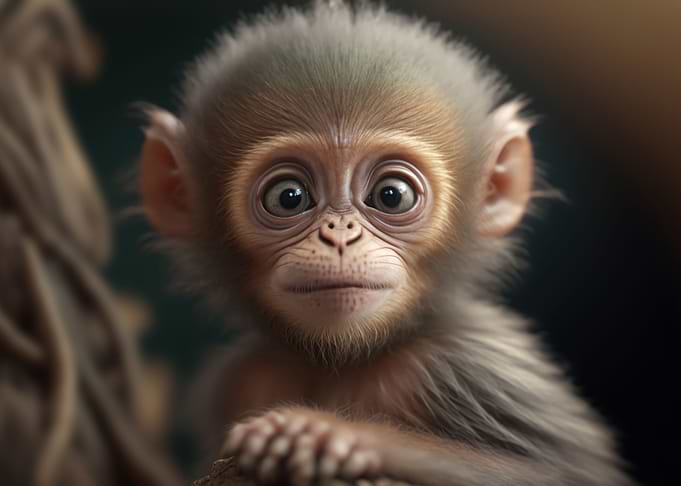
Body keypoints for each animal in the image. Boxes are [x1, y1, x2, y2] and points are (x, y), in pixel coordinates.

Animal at [136, 1, 634, 485]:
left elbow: (565, 474)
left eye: (391, 195)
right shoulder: (239, 379)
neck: (344, 363)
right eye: (289, 197)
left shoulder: (473, 363)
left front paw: (324, 433)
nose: (339, 236)